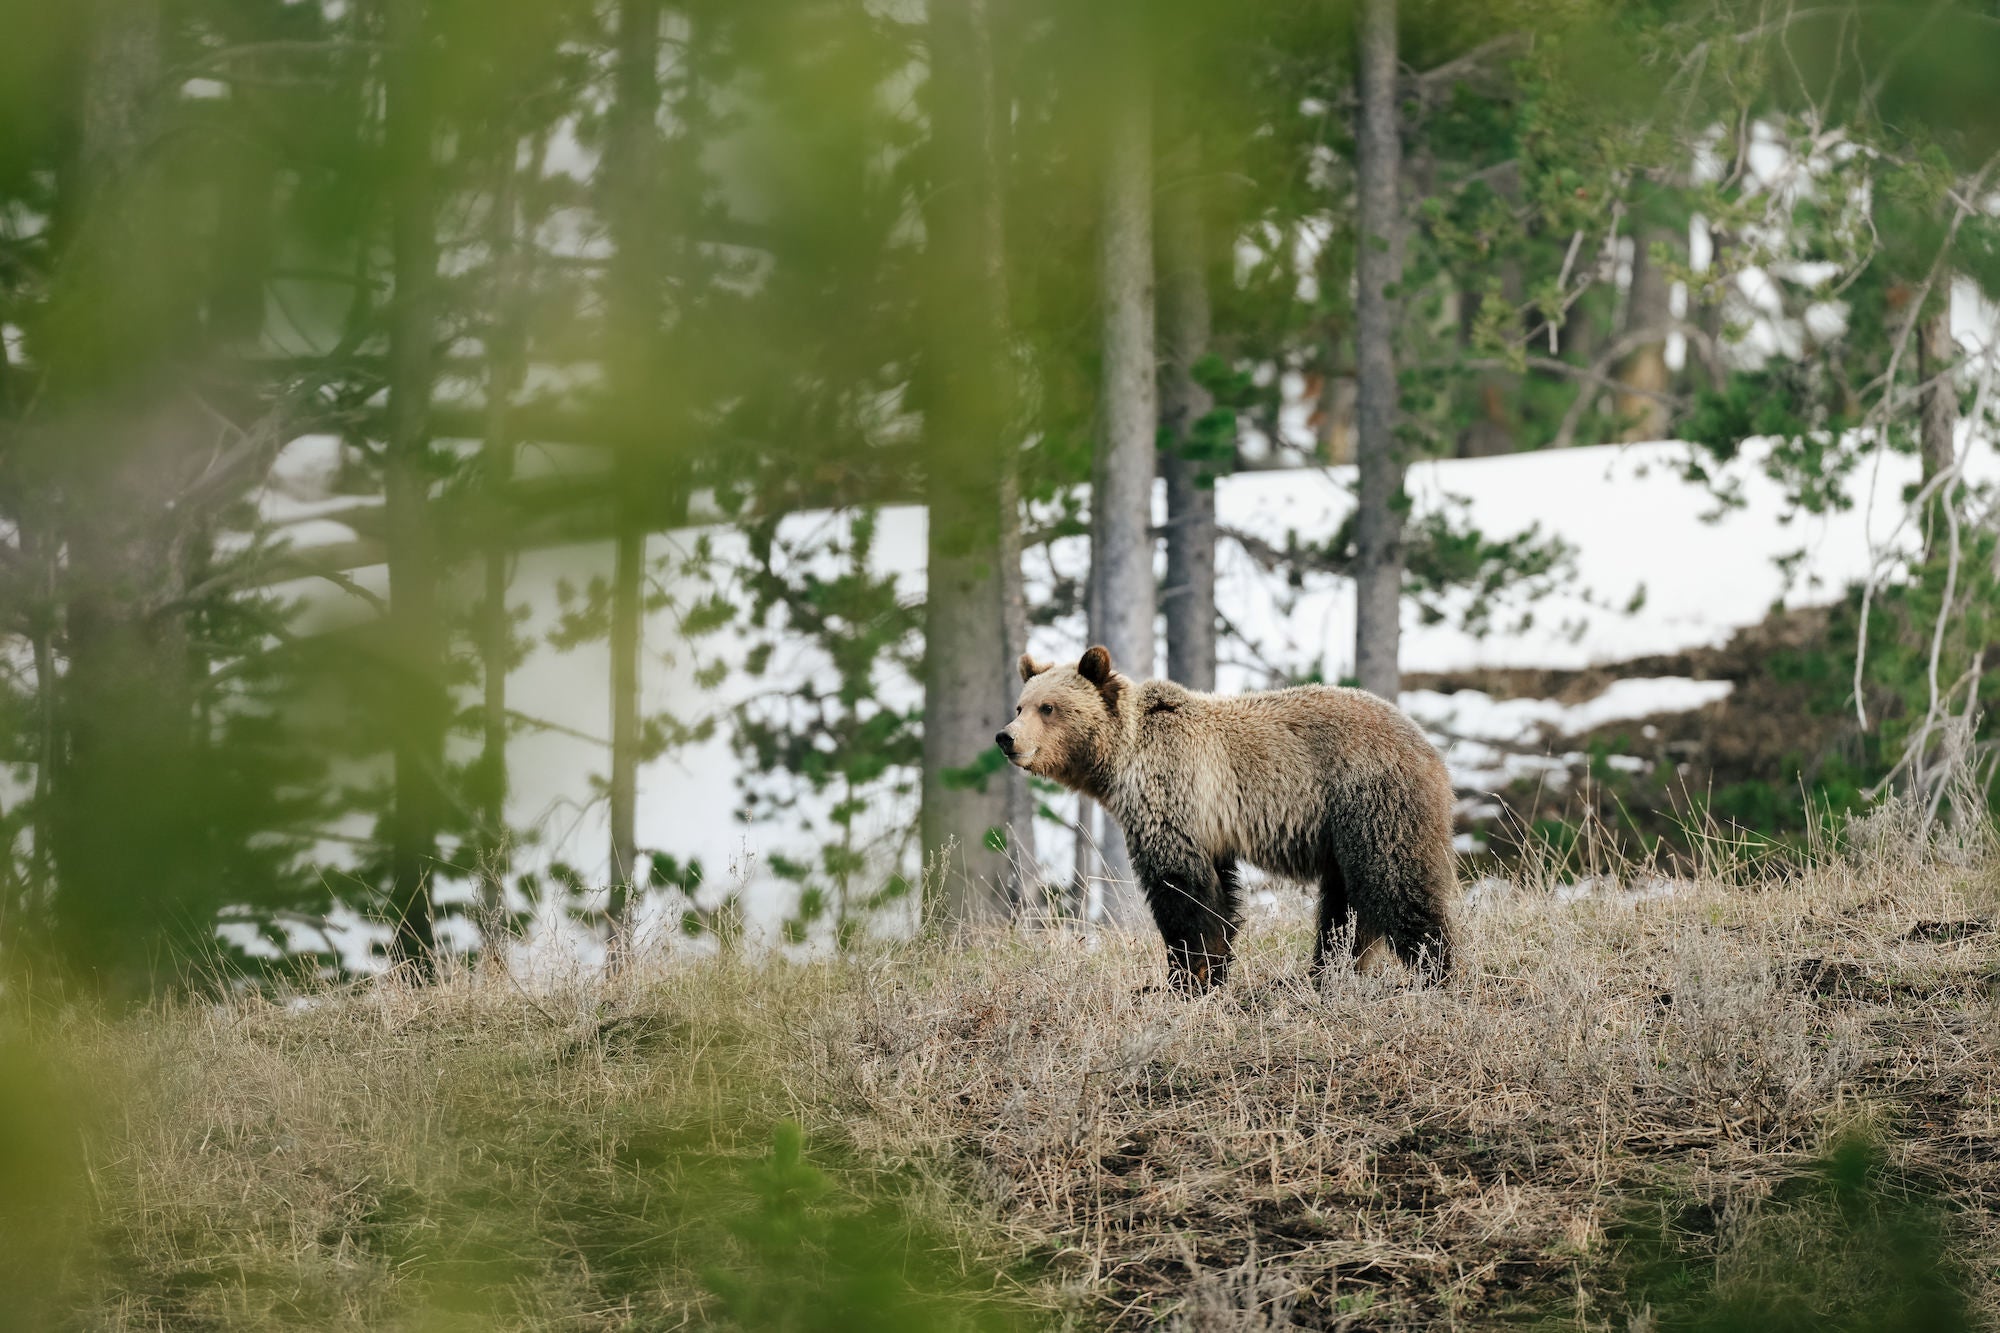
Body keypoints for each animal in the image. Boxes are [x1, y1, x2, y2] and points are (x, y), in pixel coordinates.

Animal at [995, 645, 1457, 993]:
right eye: (1020, 705)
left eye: (1048, 707)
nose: (1006, 737)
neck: (1120, 760)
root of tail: (1430, 749)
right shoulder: (1207, 823)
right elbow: (1217, 893)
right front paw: (1209, 973)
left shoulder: (1172, 792)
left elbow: (1181, 890)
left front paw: (1182, 979)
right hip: (1344, 831)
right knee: (1345, 906)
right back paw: (1324, 974)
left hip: (1369, 800)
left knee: (1393, 882)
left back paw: (1434, 971)